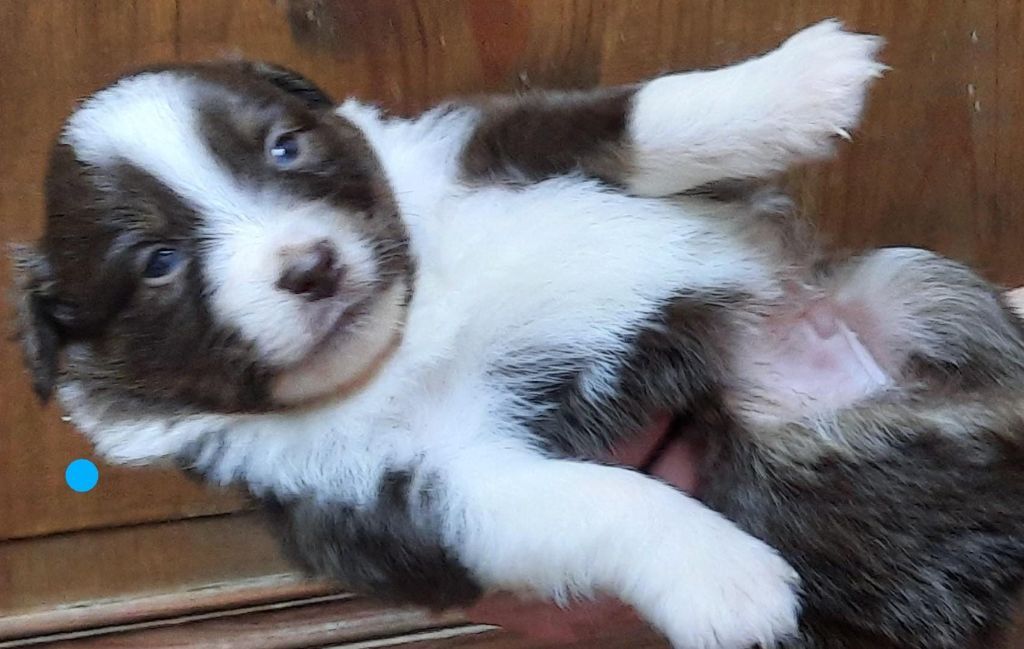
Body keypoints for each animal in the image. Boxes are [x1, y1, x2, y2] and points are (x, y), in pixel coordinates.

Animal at [14, 20, 1024, 648]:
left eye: (285, 147)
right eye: (157, 262)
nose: (312, 267)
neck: (410, 322)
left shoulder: (494, 140)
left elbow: (641, 112)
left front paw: (799, 81)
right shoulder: (423, 495)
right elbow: (599, 503)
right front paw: (727, 579)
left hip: (912, 287)